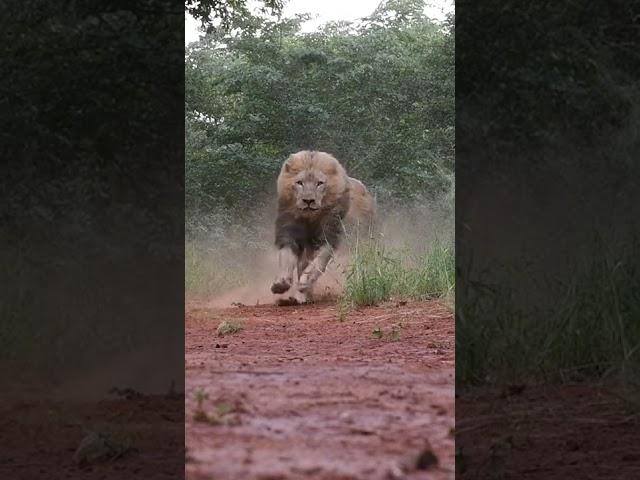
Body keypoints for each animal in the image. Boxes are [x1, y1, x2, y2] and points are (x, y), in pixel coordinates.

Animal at [270, 152, 376, 306]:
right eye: (299, 182)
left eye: (319, 183)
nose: (308, 201)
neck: (310, 218)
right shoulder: (289, 234)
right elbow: (286, 259)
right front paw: (281, 284)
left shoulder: (328, 237)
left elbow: (317, 264)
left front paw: (304, 282)